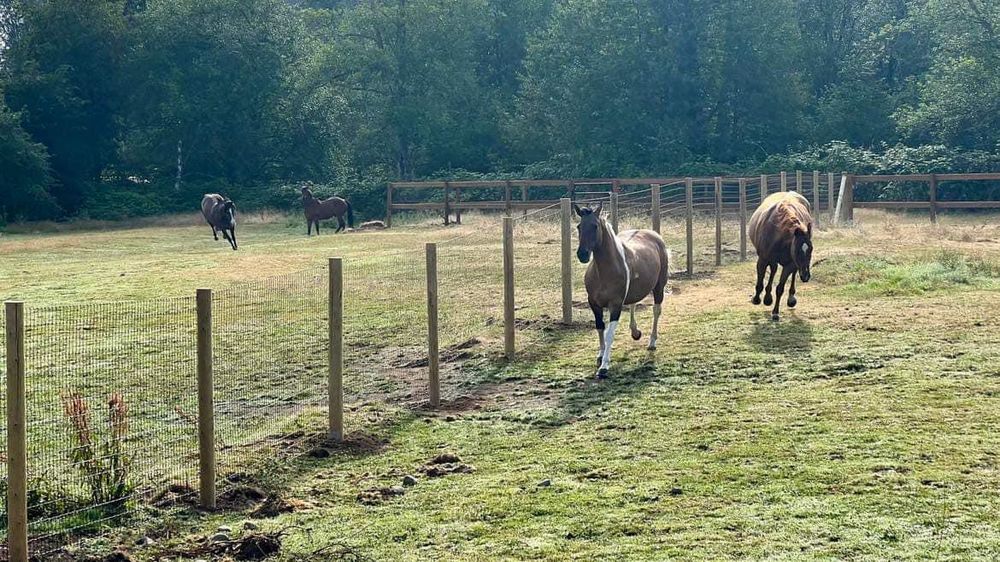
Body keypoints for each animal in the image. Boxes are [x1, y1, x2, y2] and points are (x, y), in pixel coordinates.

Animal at [576, 203, 668, 378]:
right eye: (578, 226)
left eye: (595, 226)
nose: (582, 254)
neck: (604, 272)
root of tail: (654, 235)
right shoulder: (594, 304)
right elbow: (600, 327)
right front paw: (600, 355)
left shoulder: (615, 305)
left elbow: (609, 333)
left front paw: (604, 366)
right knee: (633, 304)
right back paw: (635, 332)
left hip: (659, 287)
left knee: (656, 310)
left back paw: (652, 342)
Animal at [748, 190, 816, 320]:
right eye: (797, 250)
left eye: (811, 249)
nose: (806, 276)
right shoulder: (763, 260)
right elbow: (760, 281)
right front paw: (756, 299)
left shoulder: (790, 264)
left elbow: (780, 288)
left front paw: (775, 312)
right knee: (773, 270)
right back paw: (767, 298)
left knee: (791, 274)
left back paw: (790, 299)